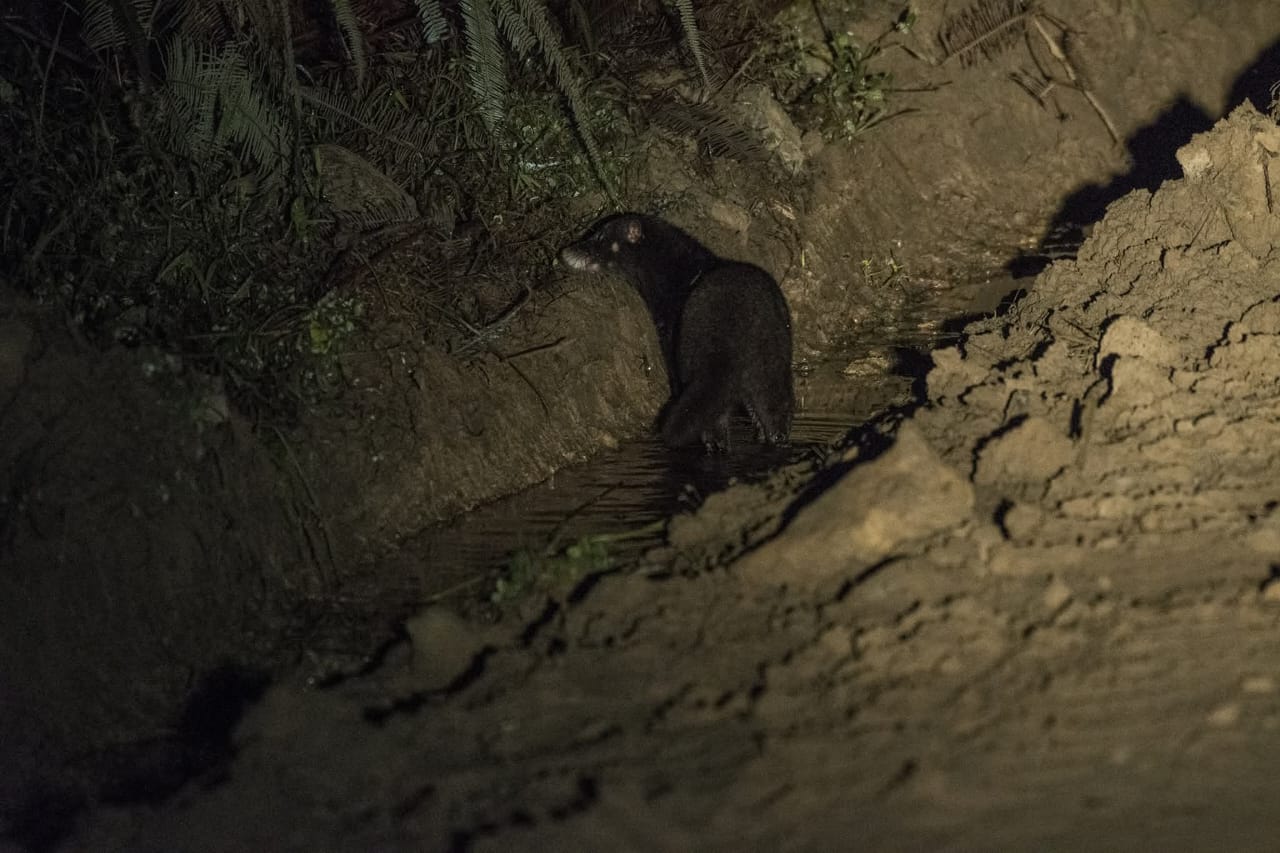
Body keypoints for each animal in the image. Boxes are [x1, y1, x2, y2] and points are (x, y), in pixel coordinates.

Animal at [559, 213, 794, 449]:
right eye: (594, 231)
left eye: (600, 236)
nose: (567, 250)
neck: (677, 275)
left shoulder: (669, 332)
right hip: (772, 360)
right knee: (774, 409)